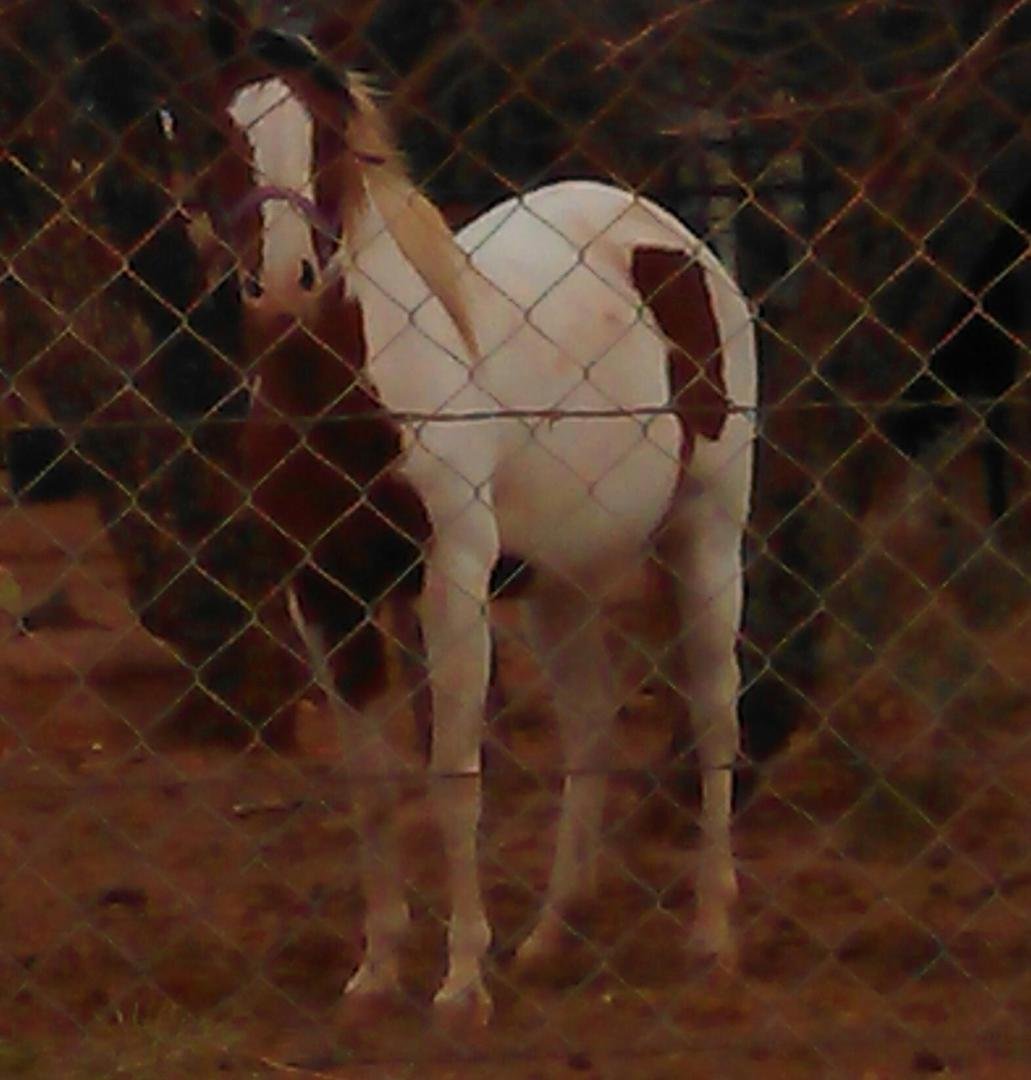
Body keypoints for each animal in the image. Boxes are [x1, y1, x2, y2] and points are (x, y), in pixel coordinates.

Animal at [201, 23, 758, 1023]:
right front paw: (377, 972)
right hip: (562, 581)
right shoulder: (325, 590)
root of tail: (677, 244)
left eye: (327, 140)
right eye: (226, 133)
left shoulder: (450, 574)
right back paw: (549, 938)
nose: (284, 283)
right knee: (590, 725)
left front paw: (460, 982)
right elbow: (372, 787)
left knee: (713, 719)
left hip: (706, 540)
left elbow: (453, 773)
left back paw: (709, 940)